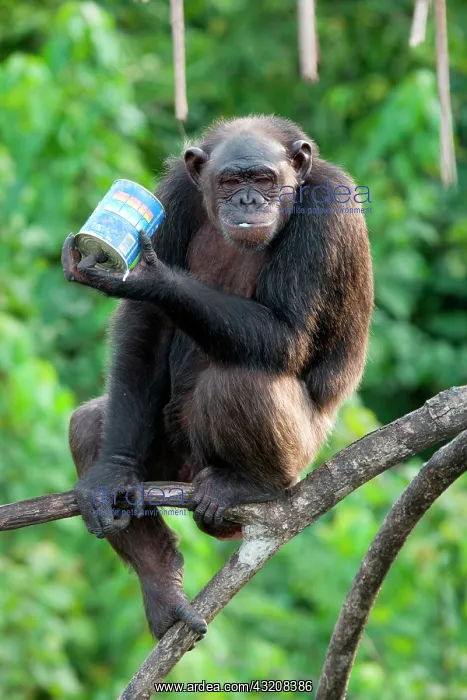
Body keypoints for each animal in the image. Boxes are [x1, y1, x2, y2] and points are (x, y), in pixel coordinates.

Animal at [62, 115, 374, 641]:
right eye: (230, 181)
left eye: (264, 179)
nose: (247, 201)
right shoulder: (174, 194)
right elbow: (146, 325)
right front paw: (111, 475)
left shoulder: (329, 213)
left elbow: (287, 332)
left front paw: (151, 277)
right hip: (168, 466)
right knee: (89, 425)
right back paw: (162, 582)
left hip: (299, 452)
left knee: (241, 382)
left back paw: (251, 485)